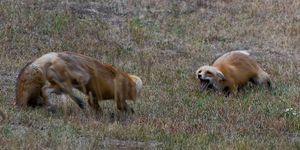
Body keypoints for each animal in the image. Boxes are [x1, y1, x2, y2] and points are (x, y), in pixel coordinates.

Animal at [15, 51, 143, 112]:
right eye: (139, 92)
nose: (137, 97)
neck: (128, 82)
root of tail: (54, 54)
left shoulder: (93, 98)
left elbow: (96, 107)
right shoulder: (119, 98)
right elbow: (124, 108)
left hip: (58, 85)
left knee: (45, 90)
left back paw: (50, 105)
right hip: (83, 77)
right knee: (65, 87)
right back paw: (78, 101)